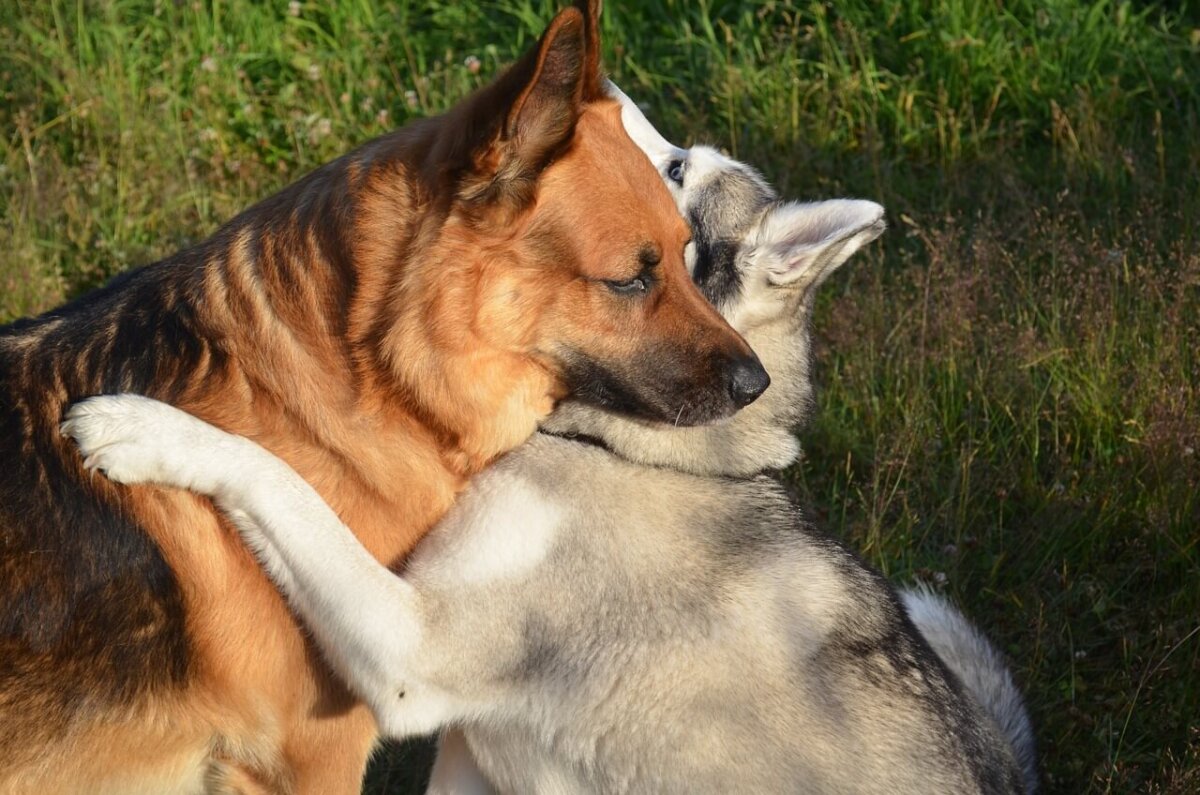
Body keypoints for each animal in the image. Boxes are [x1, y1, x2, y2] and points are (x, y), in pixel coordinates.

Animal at [63, 88, 1032, 795]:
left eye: (674, 167)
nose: (605, 86)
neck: (633, 446)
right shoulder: (470, 752)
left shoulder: (414, 654)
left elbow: (277, 479)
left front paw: (145, 428)